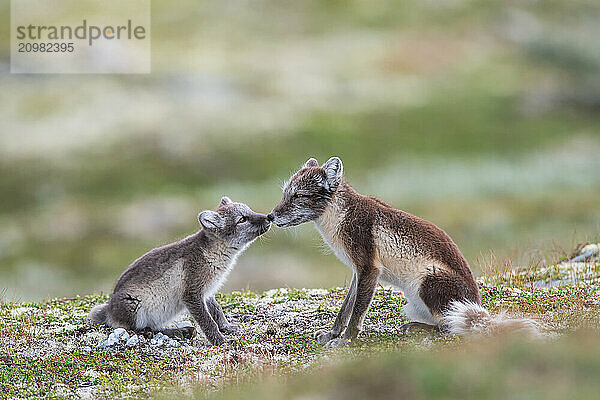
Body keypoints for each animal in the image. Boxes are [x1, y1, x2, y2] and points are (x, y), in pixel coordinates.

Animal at [89, 198, 270, 346]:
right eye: (242, 219)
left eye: (249, 210)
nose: (268, 217)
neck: (212, 253)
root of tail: (108, 311)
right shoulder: (191, 293)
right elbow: (207, 321)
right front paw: (219, 341)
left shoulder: (207, 292)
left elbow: (217, 310)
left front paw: (227, 327)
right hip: (134, 307)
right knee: (143, 330)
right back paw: (179, 332)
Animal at [268, 157, 540, 346]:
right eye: (284, 193)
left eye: (299, 195)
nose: (270, 216)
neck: (340, 216)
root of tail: (476, 303)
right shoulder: (358, 271)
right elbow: (346, 308)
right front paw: (333, 333)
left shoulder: (369, 268)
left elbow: (357, 313)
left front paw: (346, 340)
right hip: (411, 303)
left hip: (429, 281)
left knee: (450, 329)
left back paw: (416, 330)